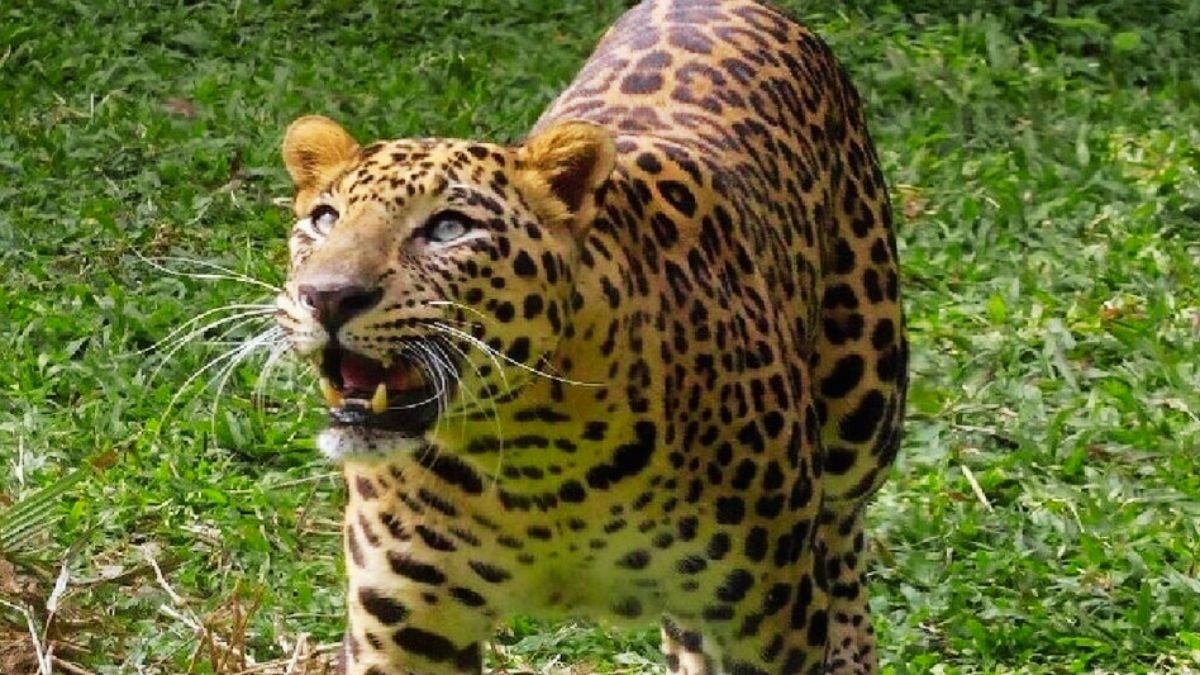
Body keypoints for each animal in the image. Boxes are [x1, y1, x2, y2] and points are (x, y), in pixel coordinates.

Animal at [273, 1, 906, 673]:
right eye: (324, 219)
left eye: (448, 228)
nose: (329, 296)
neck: (539, 462)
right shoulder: (405, 628)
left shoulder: (762, 614)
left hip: (863, 414)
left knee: (843, 543)